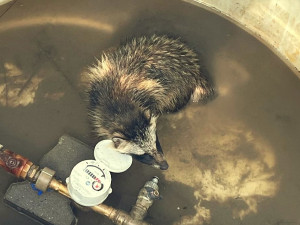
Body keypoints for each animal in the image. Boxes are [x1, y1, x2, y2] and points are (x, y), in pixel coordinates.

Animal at [85, 34, 214, 170]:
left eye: (156, 143)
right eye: (144, 154)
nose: (165, 166)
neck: (119, 106)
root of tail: (195, 68)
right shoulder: (96, 96)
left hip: (179, 88)